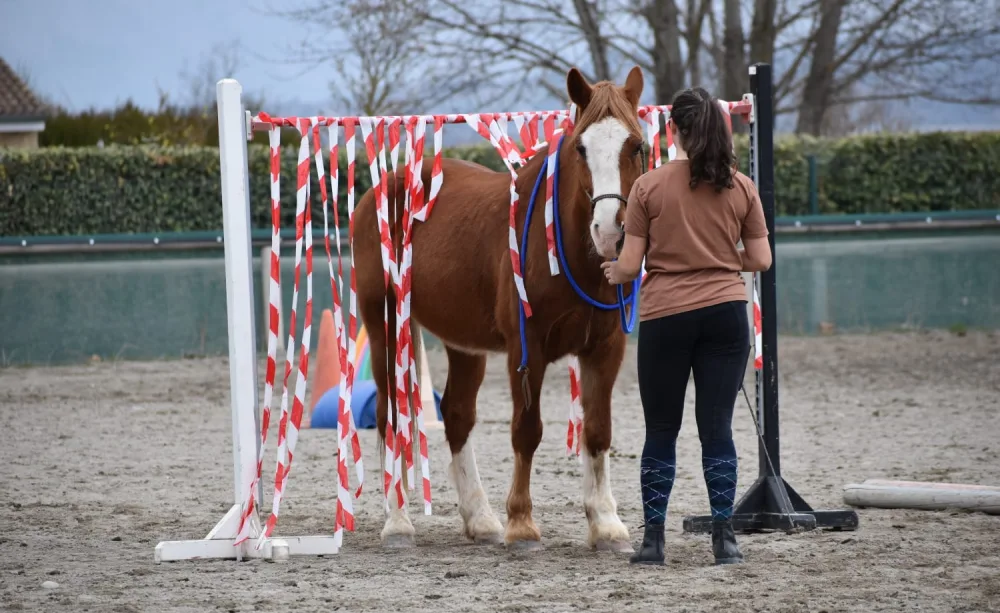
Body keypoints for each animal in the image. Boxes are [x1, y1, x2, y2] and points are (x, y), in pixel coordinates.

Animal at [352, 65, 648, 548]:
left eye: (636, 145)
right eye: (582, 148)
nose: (611, 232)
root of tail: (383, 188)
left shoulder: (605, 348)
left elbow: (598, 431)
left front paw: (605, 522)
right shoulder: (527, 348)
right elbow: (526, 431)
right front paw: (522, 522)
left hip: (463, 343)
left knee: (456, 417)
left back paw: (480, 518)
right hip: (385, 327)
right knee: (389, 416)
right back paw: (398, 521)